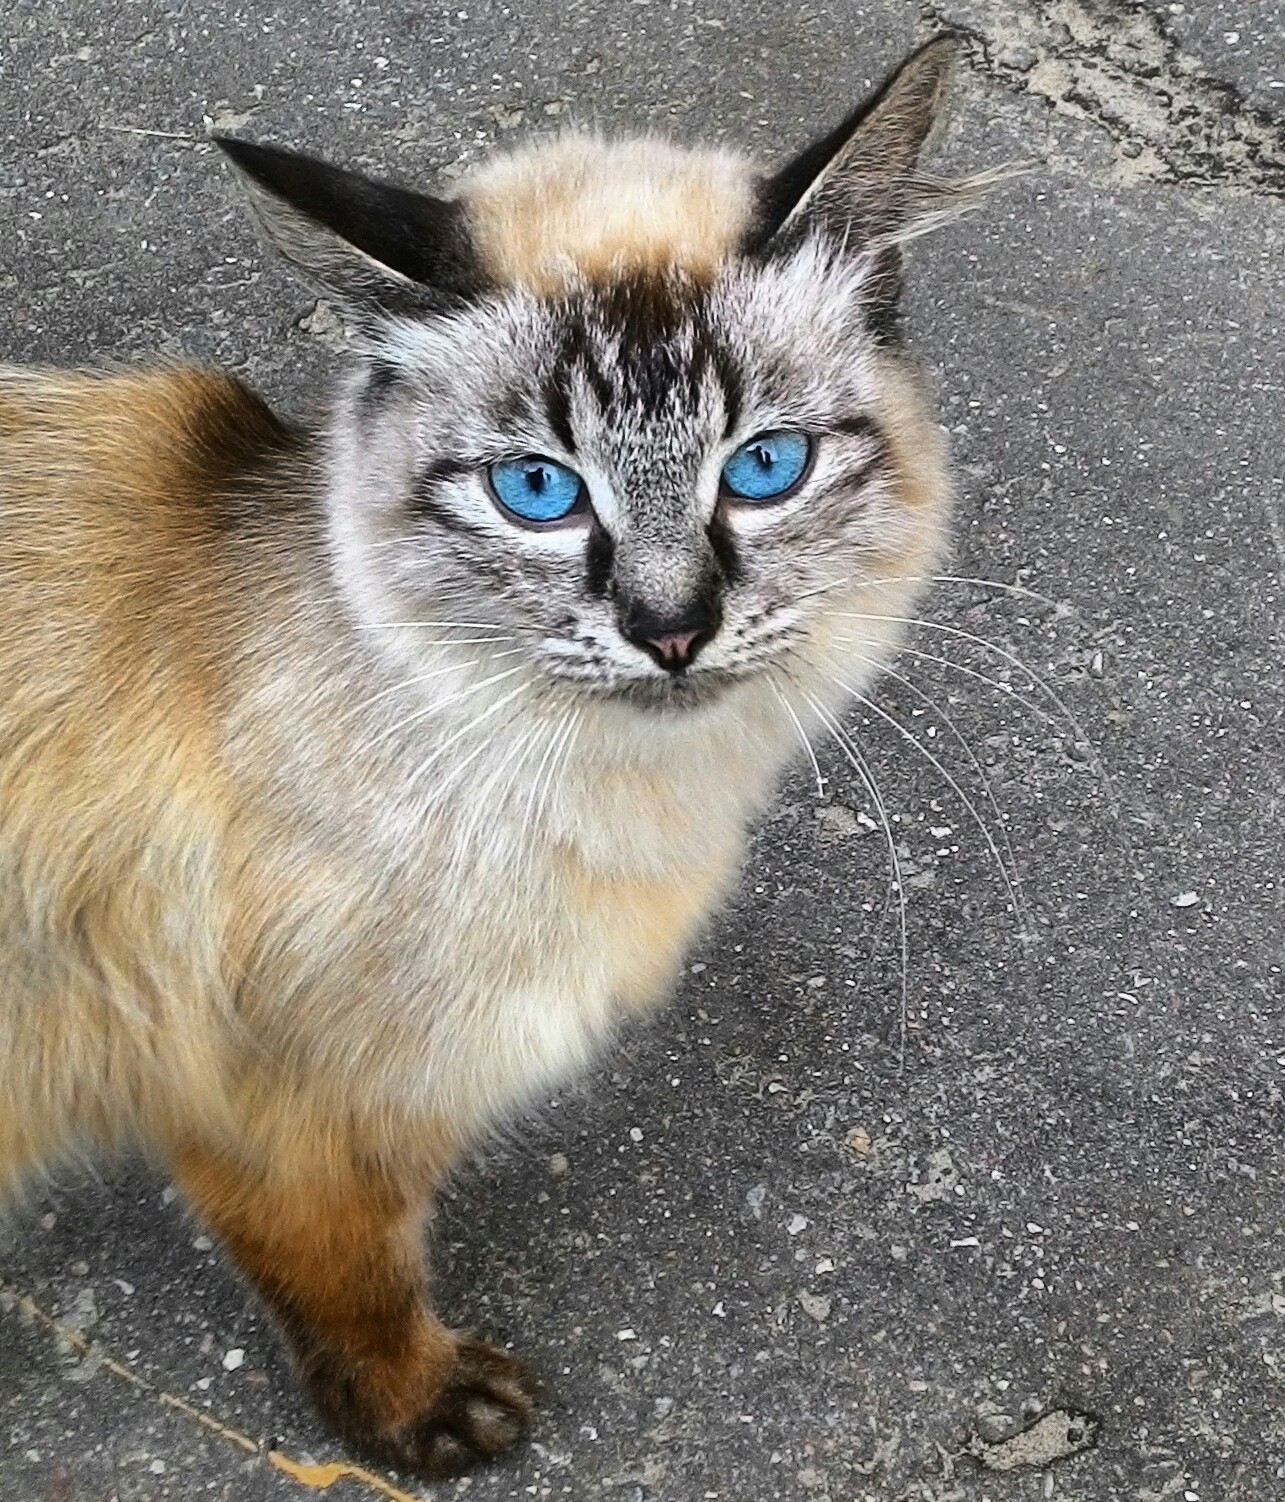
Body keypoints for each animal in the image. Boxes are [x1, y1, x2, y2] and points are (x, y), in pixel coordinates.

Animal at [0, 32, 996, 1477]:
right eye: (538, 491)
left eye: (763, 468)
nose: (670, 630)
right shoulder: (287, 1116)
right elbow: (352, 1279)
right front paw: (418, 1414)